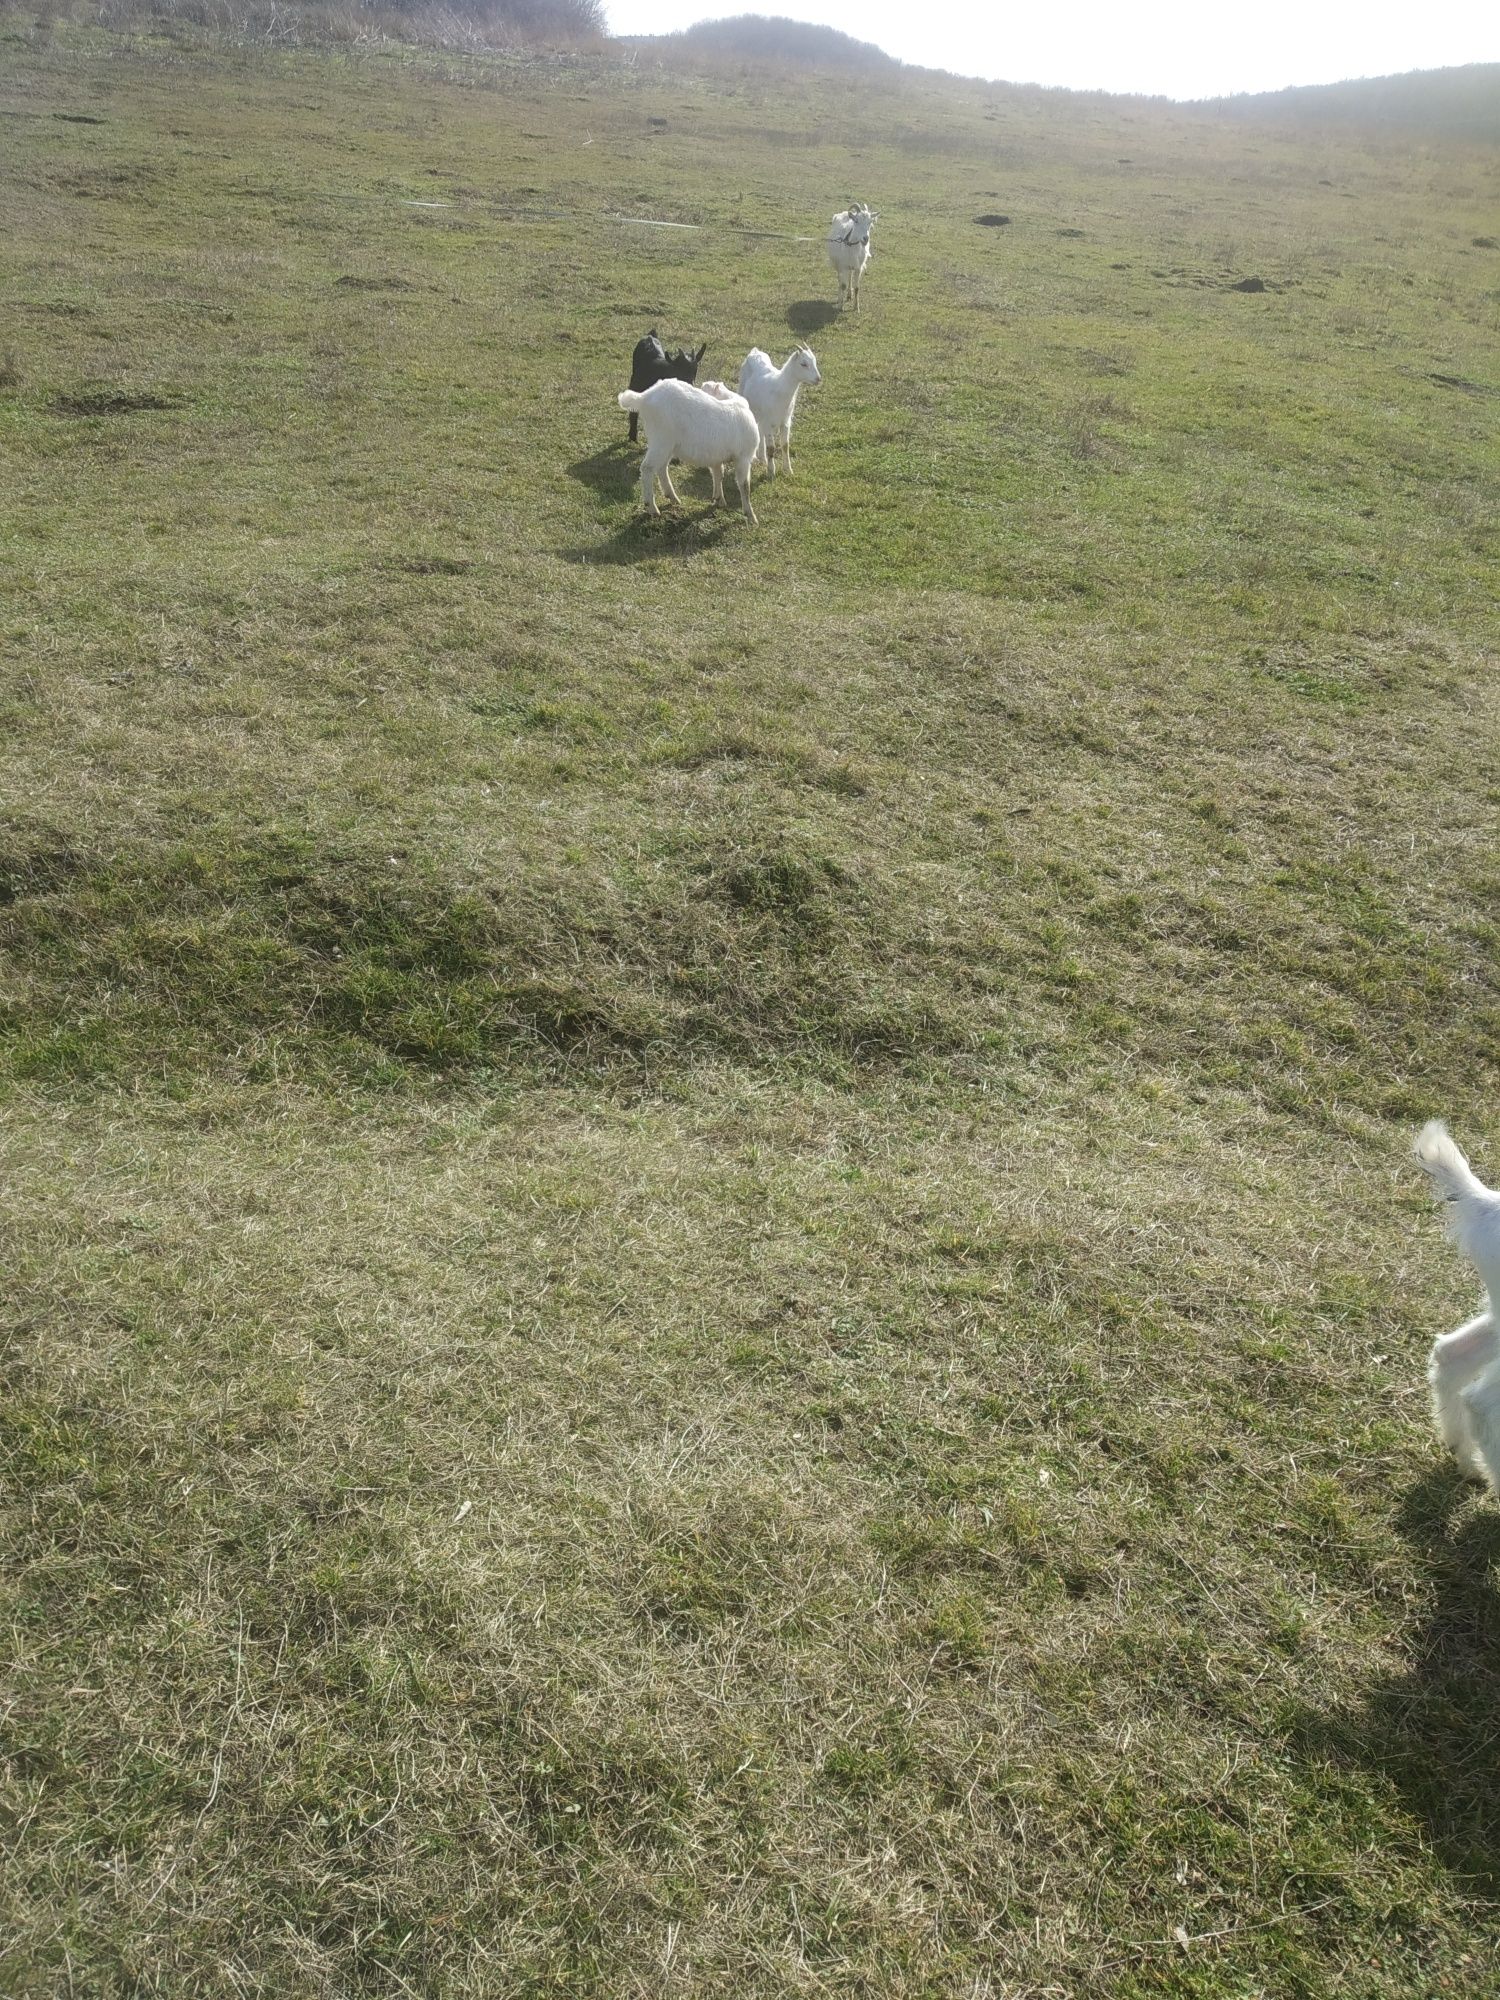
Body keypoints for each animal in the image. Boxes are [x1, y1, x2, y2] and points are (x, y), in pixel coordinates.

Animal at [620, 378, 764, 524]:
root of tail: (645, 397)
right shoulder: (744, 457)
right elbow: (745, 485)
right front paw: (751, 516)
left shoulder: (716, 457)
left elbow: (718, 475)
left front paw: (719, 500)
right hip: (661, 440)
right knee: (647, 468)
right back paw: (652, 508)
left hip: (668, 445)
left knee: (661, 467)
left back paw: (672, 497)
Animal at [736, 348, 824, 476]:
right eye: (803, 364)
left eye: (814, 361)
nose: (818, 379)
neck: (779, 388)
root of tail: (755, 351)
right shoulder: (768, 422)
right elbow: (771, 448)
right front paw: (771, 472)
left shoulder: (785, 421)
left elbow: (785, 446)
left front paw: (788, 470)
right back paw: (758, 458)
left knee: (760, 430)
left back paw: (763, 458)